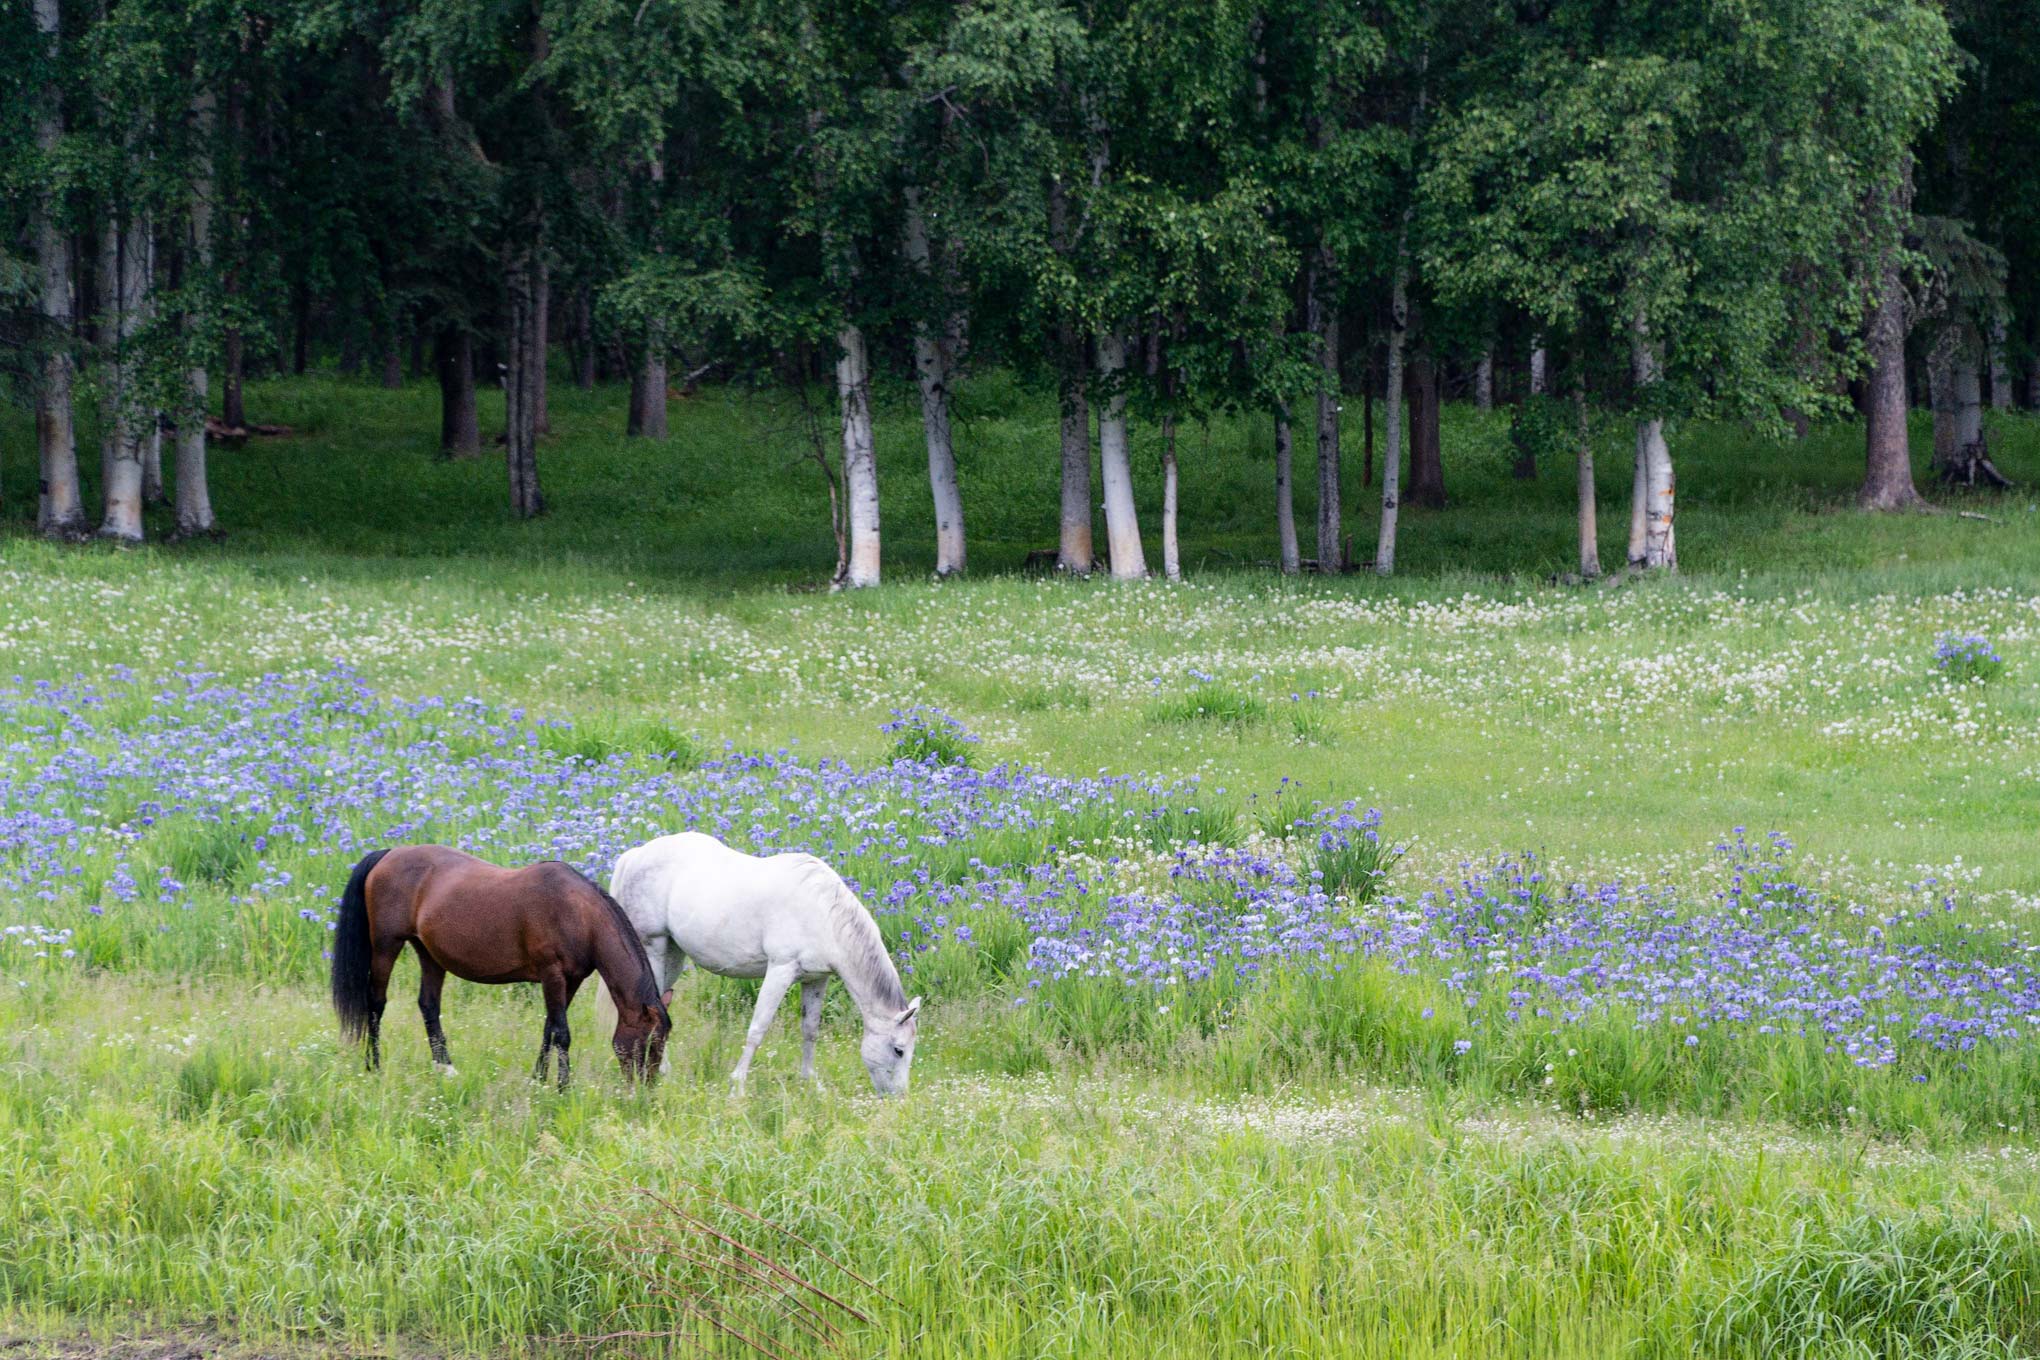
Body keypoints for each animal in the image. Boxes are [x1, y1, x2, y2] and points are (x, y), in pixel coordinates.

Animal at [329, 845, 672, 1089]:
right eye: (650, 1042)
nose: (645, 1090)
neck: (578, 913)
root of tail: (388, 854)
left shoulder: (570, 979)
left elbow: (549, 1028)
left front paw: (538, 1079)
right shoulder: (552, 974)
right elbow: (561, 1033)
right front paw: (563, 1087)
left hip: (429, 954)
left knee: (428, 1005)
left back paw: (445, 1068)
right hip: (386, 945)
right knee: (376, 1003)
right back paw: (374, 1066)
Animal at [605, 832, 921, 1095]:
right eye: (899, 1050)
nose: (898, 1098)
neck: (823, 913)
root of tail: (635, 854)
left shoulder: (816, 979)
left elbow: (810, 1030)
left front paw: (811, 1083)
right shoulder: (781, 969)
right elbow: (758, 1029)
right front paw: (738, 1087)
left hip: (673, 952)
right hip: (655, 947)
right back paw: (664, 1069)